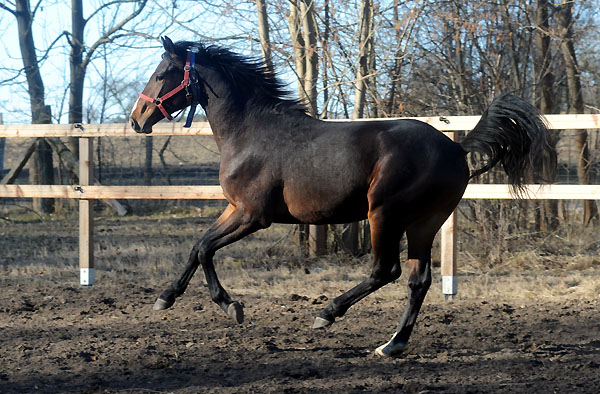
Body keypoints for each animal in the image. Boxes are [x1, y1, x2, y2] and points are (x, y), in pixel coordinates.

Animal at [130, 37, 556, 358]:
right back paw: (392, 345)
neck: (251, 131)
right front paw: (166, 298)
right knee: (418, 280)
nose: (137, 119)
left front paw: (231, 306)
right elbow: (196, 247)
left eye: (161, 74)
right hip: (424, 223)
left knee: (386, 271)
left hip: (384, 214)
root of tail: (457, 148)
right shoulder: (235, 209)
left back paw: (329, 313)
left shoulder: (252, 214)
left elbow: (205, 249)